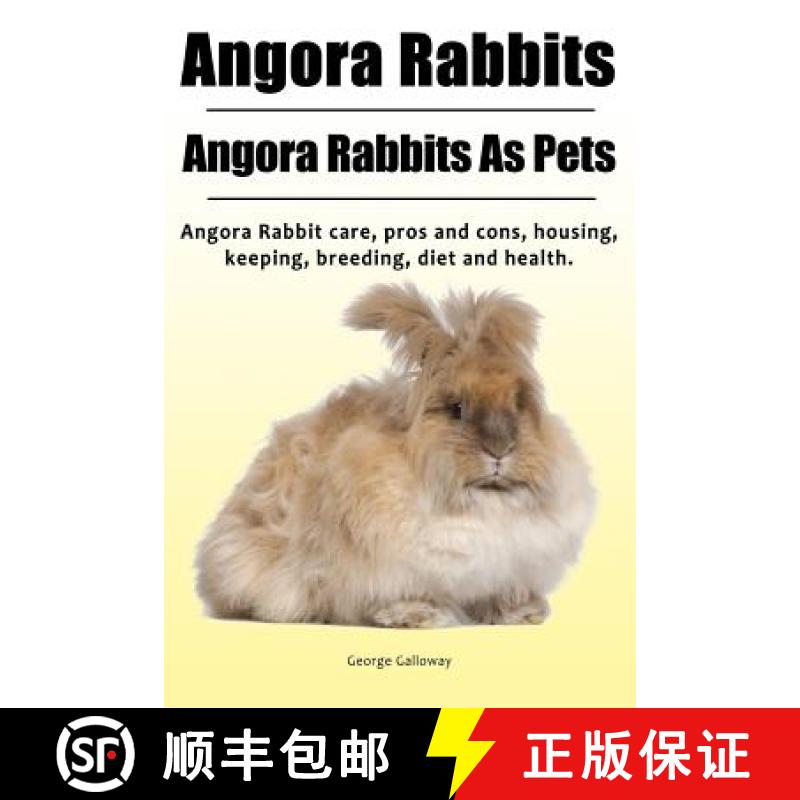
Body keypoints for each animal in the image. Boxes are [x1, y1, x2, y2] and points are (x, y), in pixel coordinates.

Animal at [196, 284, 595, 627]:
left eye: (519, 405)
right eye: (457, 409)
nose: (500, 449)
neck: (483, 506)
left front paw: (522, 612)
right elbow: (401, 592)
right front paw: (418, 616)